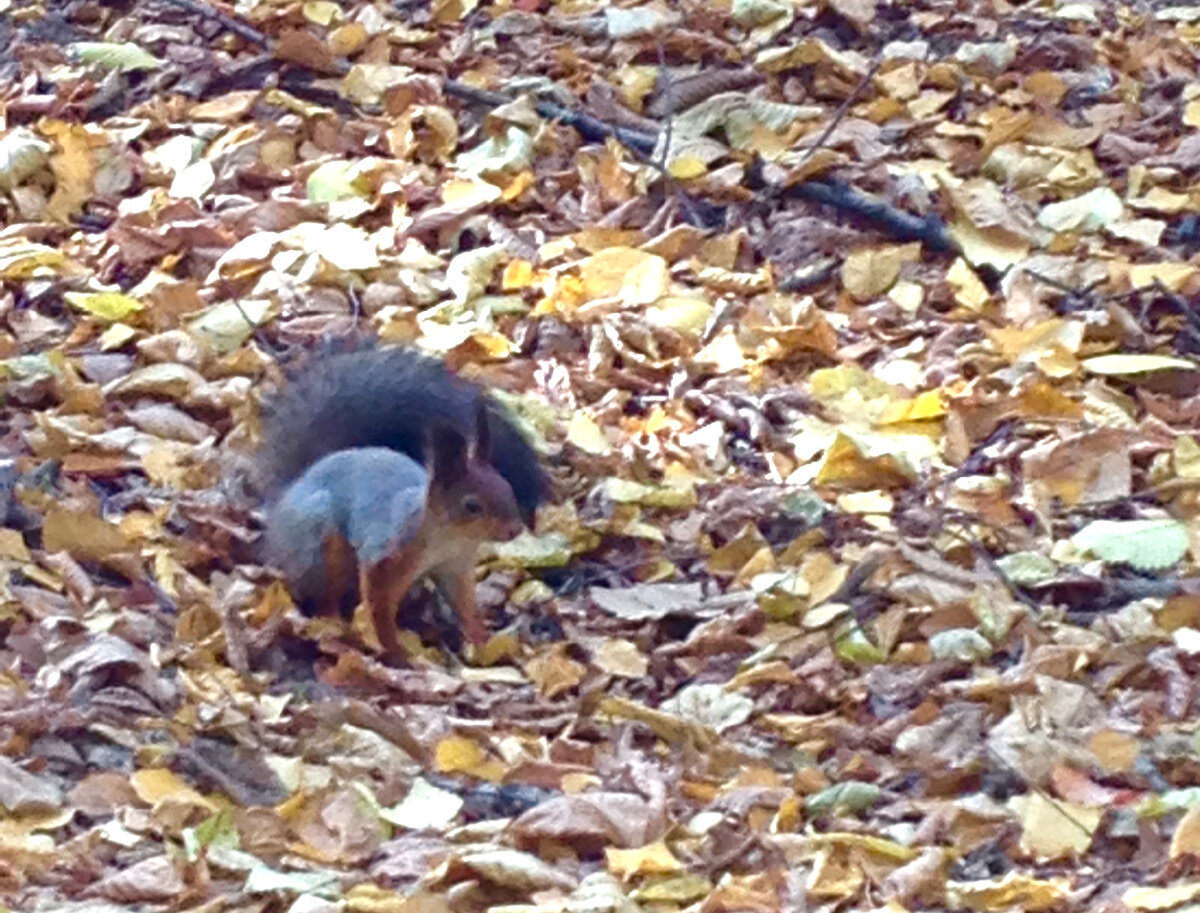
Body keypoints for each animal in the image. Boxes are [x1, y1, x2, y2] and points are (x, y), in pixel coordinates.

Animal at [260, 345, 549, 657]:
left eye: (507, 487)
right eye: (472, 505)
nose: (514, 529)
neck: (448, 538)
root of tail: (285, 497)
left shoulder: (455, 567)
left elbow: (465, 606)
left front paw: (482, 641)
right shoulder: (386, 552)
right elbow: (378, 608)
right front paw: (394, 650)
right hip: (320, 543)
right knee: (325, 594)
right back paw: (334, 623)